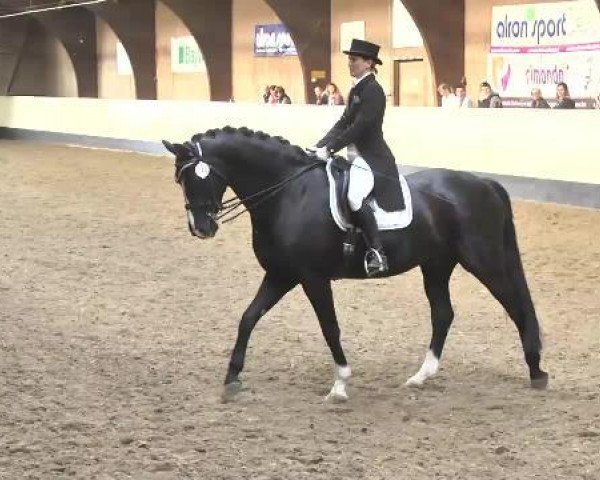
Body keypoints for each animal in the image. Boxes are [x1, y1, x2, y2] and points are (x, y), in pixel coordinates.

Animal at [163, 124, 548, 402]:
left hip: (483, 260)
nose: (202, 228)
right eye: (179, 179)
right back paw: (421, 376)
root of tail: (483, 182)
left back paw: (536, 372)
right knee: (443, 313)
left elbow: (329, 327)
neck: (289, 194)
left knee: (515, 306)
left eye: (197, 176)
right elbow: (248, 317)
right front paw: (231, 378)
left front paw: (340, 384)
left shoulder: (312, 278)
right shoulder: (281, 274)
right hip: (437, 265)